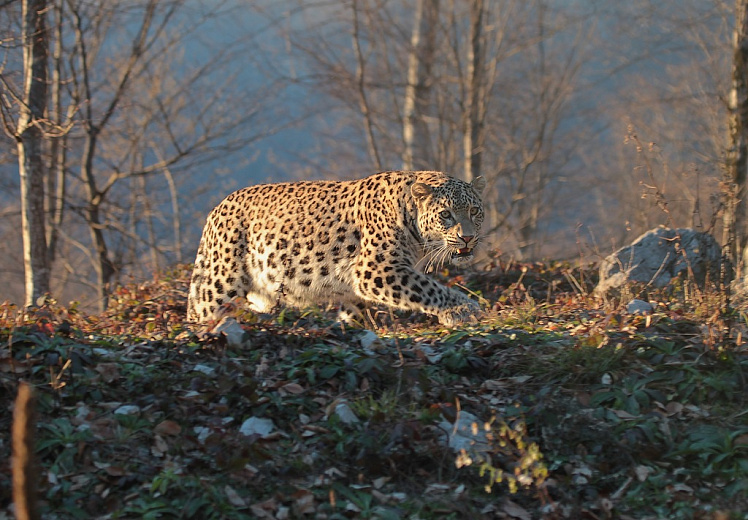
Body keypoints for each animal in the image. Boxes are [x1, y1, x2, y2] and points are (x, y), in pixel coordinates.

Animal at [187, 172, 486, 324]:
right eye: (446, 215)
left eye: (474, 210)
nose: (468, 238)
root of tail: (217, 208)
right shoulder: (376, 270)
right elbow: (429, 289)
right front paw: (464, 309)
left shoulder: (359, 285)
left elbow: (354, 311)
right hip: (219, 283)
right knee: (200, 312)